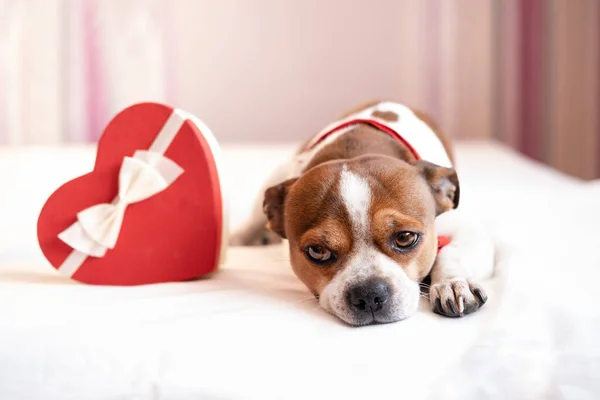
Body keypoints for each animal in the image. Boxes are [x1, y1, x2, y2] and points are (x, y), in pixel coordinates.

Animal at [230, 100, 492, 324]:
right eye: (317, 251)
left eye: (405, 238)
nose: (369, 293)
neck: (353, 152)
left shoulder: (468, 231)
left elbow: (452, 253)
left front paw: (453, 283)